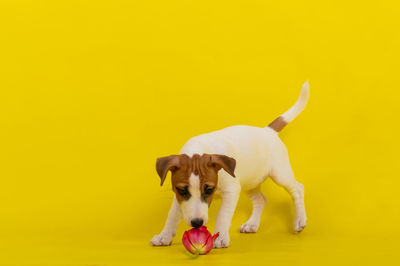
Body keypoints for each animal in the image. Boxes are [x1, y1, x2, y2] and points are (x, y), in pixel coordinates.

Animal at [150, 82, 310, 248]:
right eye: (182, 190)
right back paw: (252, 224)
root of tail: (268, 131)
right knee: (260, 200)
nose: (197, 223)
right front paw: (164, 236)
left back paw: (299, 220)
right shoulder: (179, 196)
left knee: (298, 189)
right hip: (250, 182)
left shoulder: (231, 191)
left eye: (209, 189)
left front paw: (220, 237)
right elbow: (172, 215)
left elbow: (223, 214)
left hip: (280, 174)